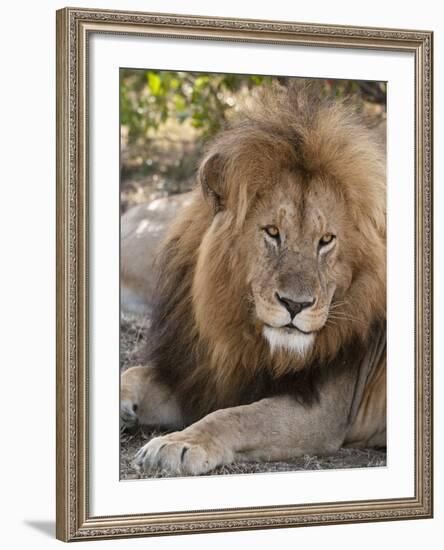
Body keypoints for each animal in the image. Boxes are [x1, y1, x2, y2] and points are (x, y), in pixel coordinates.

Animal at [120, 82, 386, 478]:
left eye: (326, 240)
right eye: (272, 232)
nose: (295, 305)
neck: (247, 338)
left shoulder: (324, 412)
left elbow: (234, 417)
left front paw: (178, 444)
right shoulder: (209, 378)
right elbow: (134, 373)